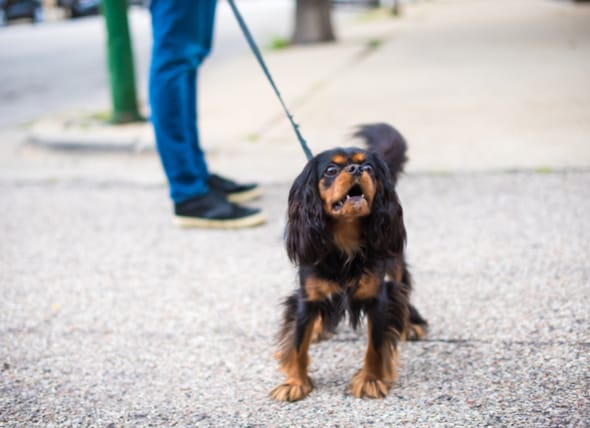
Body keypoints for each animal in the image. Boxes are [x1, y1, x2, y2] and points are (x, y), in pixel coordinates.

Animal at [270, 123, 428, 402]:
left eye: (369, 168)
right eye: (331, 170)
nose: (356, 169)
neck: (344, 239)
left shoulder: (378, 297)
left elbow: (375, 345)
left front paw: (371, 380)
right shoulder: (306, 297)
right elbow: (298, 342)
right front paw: (294, 383)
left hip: (394, 261)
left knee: (403, 287)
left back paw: (411, 324)